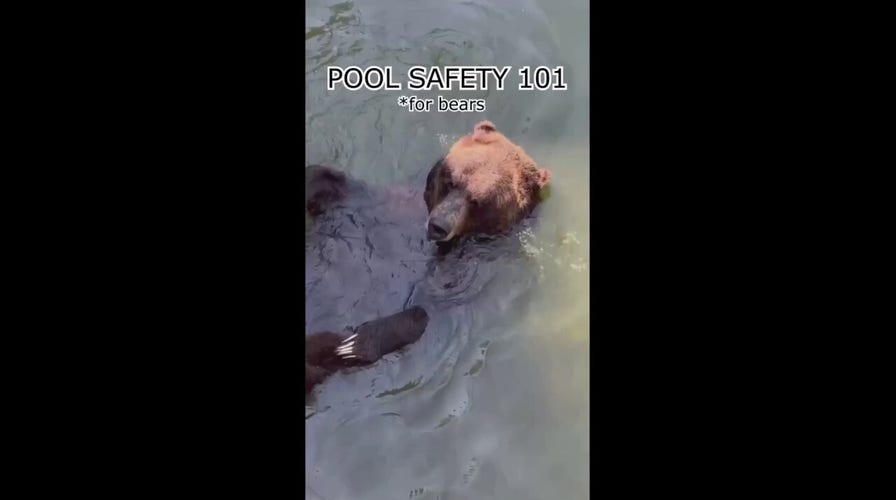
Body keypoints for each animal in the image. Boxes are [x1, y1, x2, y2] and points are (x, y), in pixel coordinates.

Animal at [304, 120, 552, 396]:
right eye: (452, 181)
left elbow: (426, 308)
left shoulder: (462, 275)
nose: (439, 225)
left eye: (478, 201)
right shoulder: (382, 206)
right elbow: (331, 182)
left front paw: (355, 342)